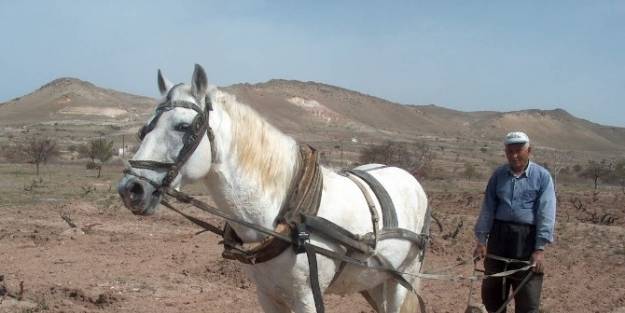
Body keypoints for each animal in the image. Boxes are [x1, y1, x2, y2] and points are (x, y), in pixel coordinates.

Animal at [117, 64, 428, 310]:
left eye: (182, 126)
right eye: (144, 129)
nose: (130, 189)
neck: (286, 213)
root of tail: (411, 179)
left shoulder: (308, 298)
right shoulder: (268, 295)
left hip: (404, 278)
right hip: (375, 279)